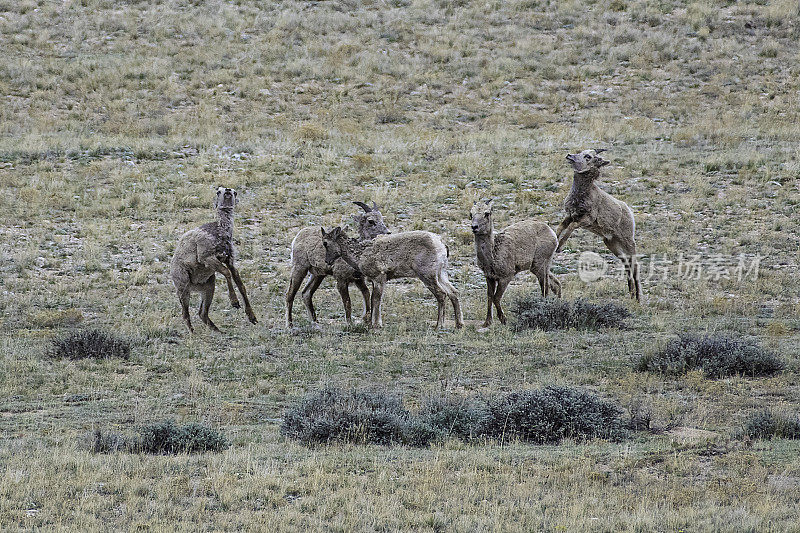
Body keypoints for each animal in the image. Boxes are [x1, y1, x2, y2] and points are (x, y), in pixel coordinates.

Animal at [170, 185, 258, 330]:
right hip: (184, 287)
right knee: (185, 314)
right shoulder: (207, 258)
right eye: (218, 191)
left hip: (209, 285)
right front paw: (235, 302)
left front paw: (252, 317)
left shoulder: (229, 260)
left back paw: (219, 331)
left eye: (235, 192)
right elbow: (227, 273)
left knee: (202, 313)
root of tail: (194, 287)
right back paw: (193, 332)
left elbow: (240, 284)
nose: (227, 190)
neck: (219, 231)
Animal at [468, 197, 564, 326]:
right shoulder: (489, 277)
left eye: (487, 213)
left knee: (545, 288)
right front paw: (487, 322)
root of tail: (553, 235)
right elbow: (489, 297)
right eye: (471, 214)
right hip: (541, 266)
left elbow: (496, 298)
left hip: (540, 265)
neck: (493, 255)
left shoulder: (506, 276)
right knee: (556, 284)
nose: (474, 227)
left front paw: (504, 320)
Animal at [556, 148, 644, 302]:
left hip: (628, 241)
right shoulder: (570, 216)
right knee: (626, 263)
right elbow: (560, 227)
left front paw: (560, 247)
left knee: (634, 265)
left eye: (588, 156)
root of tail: (628, 211)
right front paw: (555, 244)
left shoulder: (586, 220)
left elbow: (571, 227)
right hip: (611, 243)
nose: (569, 156)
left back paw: (638, 298)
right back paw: (632, 294)